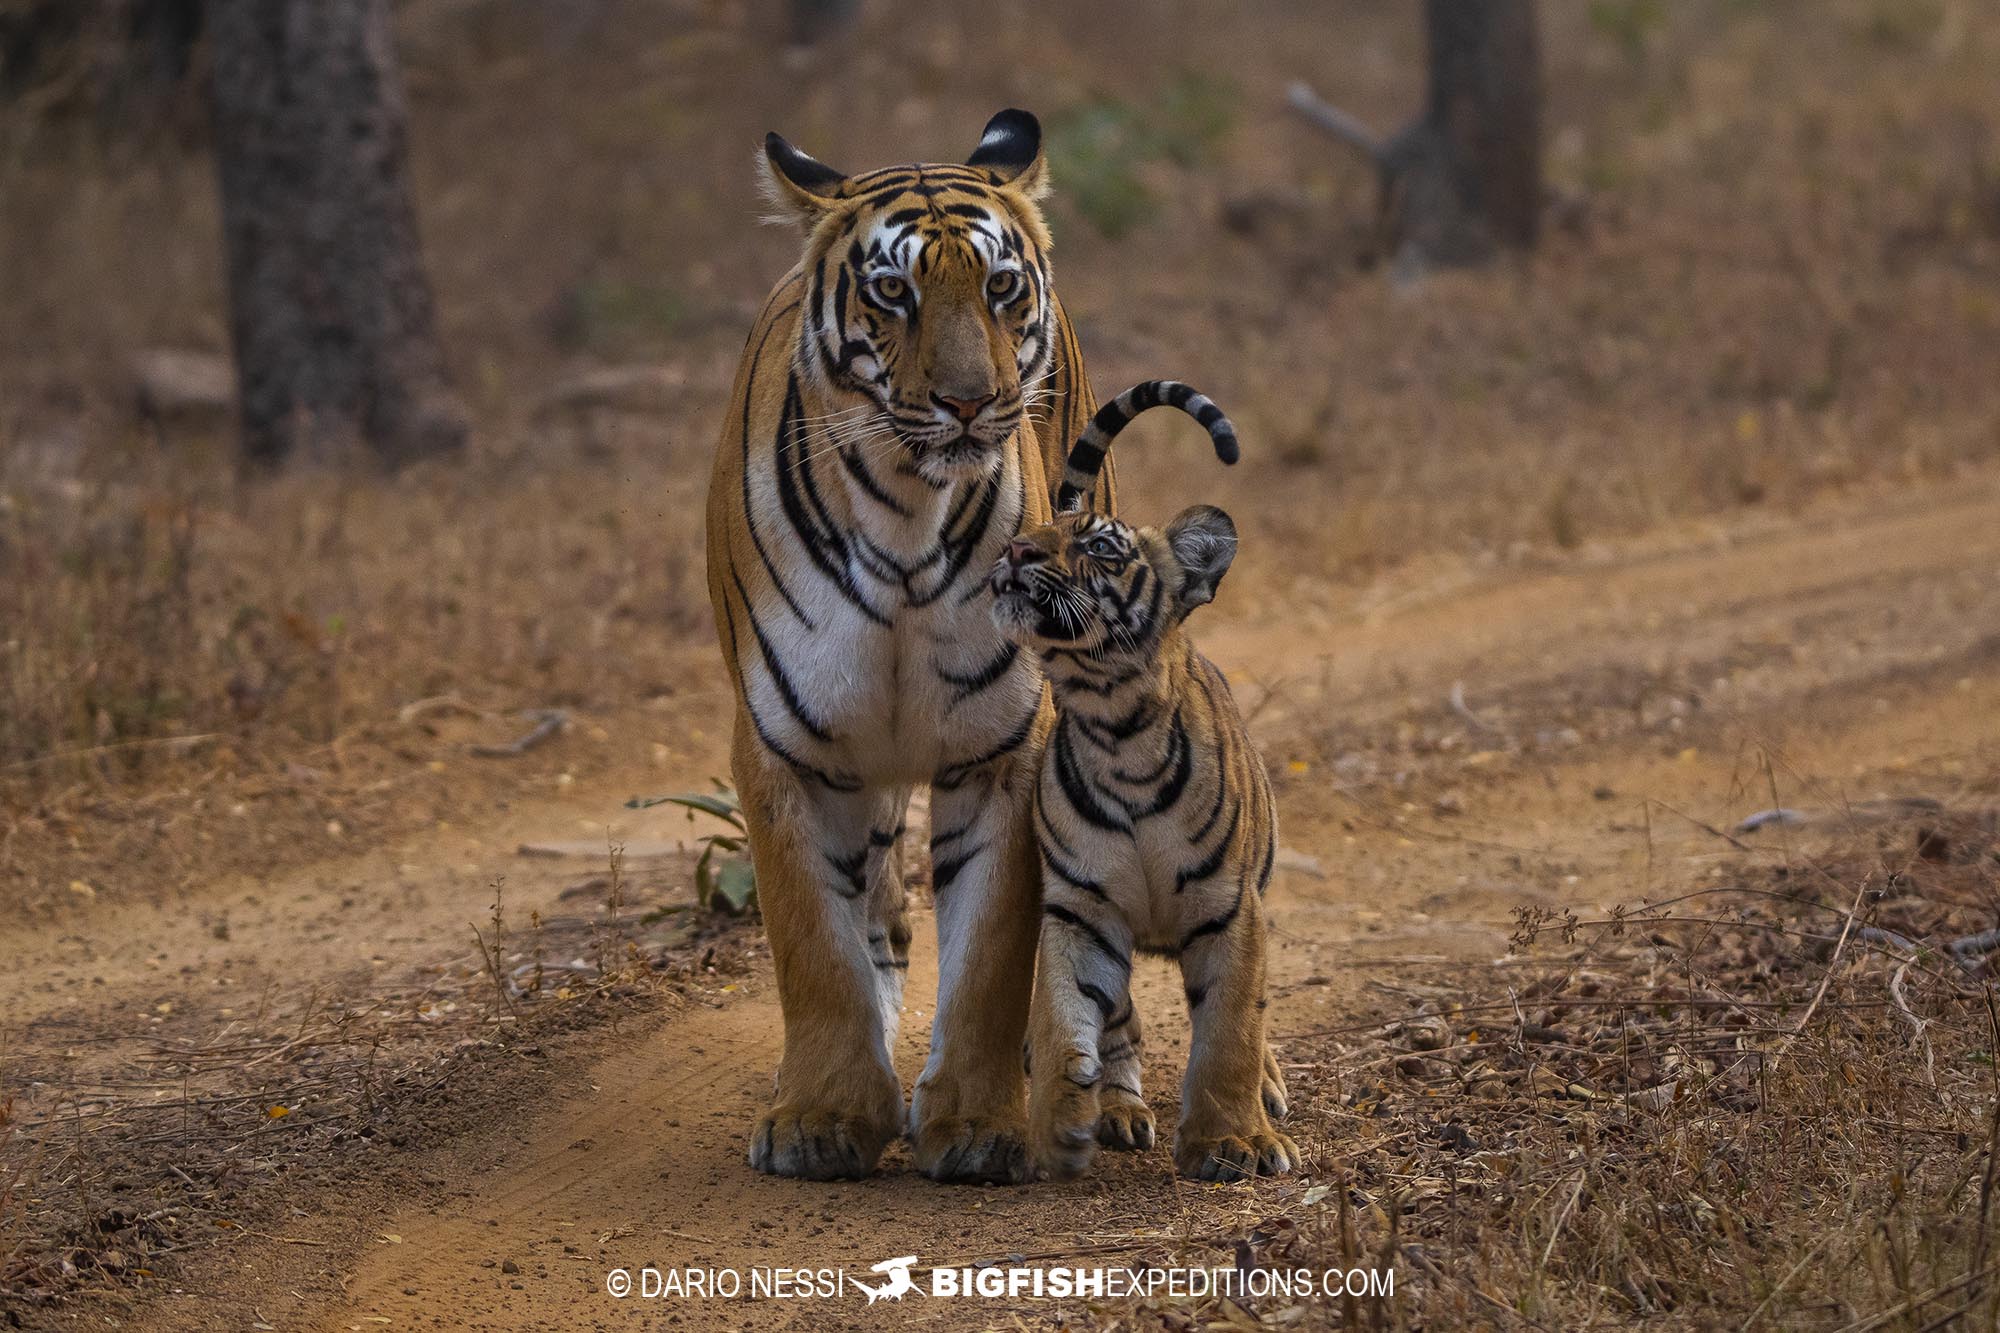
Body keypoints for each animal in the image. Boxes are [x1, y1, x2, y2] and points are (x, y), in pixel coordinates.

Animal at [704, 109, 1112, 1176]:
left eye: (1000, 287)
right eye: (893, 292)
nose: (970, 402)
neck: (903, 514)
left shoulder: (1002, 748)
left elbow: (991, 952)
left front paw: (974, 1124)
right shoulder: (785, 747)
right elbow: (815, 944)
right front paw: (823, 1116)